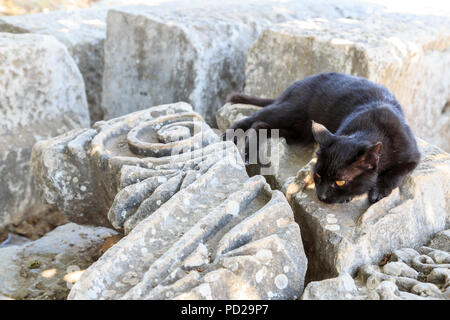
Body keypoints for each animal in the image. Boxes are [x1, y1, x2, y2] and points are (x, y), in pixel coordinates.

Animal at [223, 71, 420, 204]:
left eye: (340, 181)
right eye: (318, 174)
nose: (321, 195)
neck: (374, 126)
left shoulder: (414, 157)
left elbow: (397, 173)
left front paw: (379, 190)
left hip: (297, 132)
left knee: (261, 125)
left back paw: (247, 152)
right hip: (288, 112)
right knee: (254, 119)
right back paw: (232, 139)